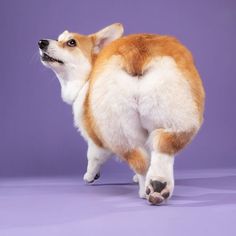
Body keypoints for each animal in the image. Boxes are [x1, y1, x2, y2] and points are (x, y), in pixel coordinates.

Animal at [38, 23, 205, 205]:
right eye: (59, 38)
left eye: (71, 42)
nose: (41, 42)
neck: (88, 76)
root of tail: (137, 53)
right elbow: (149, 154)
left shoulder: (96, 140)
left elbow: (93, 158)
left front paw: (90, 176)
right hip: (174, 118)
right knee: (161, 149)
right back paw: (157, 187)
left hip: (118, 131)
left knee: (140, 160)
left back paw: (145, 191)